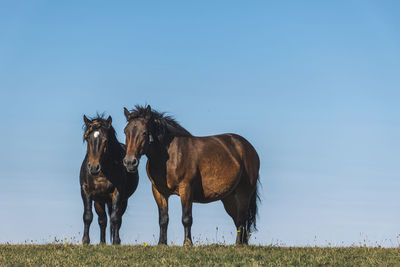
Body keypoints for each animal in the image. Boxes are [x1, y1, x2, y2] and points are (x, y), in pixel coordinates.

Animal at [79, 114, 139, 245]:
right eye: (88, 139)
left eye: (105, 140)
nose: (94, 167)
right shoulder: (86, 191)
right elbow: (88, 216)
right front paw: (85, 241)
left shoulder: (118, 193)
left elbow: (115, 218)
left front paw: (116, 241)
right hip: (99, 201)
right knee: (102, 220)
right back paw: (102, 242)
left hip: (122, 201)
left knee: (116, 218)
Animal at [122, 105, 260, 246]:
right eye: (125, 132)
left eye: (144, 132)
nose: (130, 162)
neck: (170, 156)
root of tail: (248, 147)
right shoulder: (159, 192)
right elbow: (163, 219)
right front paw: (162, 243)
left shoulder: (186, 188)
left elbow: (186, 218)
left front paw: (187, 243)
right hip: (229, 197)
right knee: (238, 220)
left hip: (243, 192)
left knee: (242, 219)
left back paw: (239, 244)